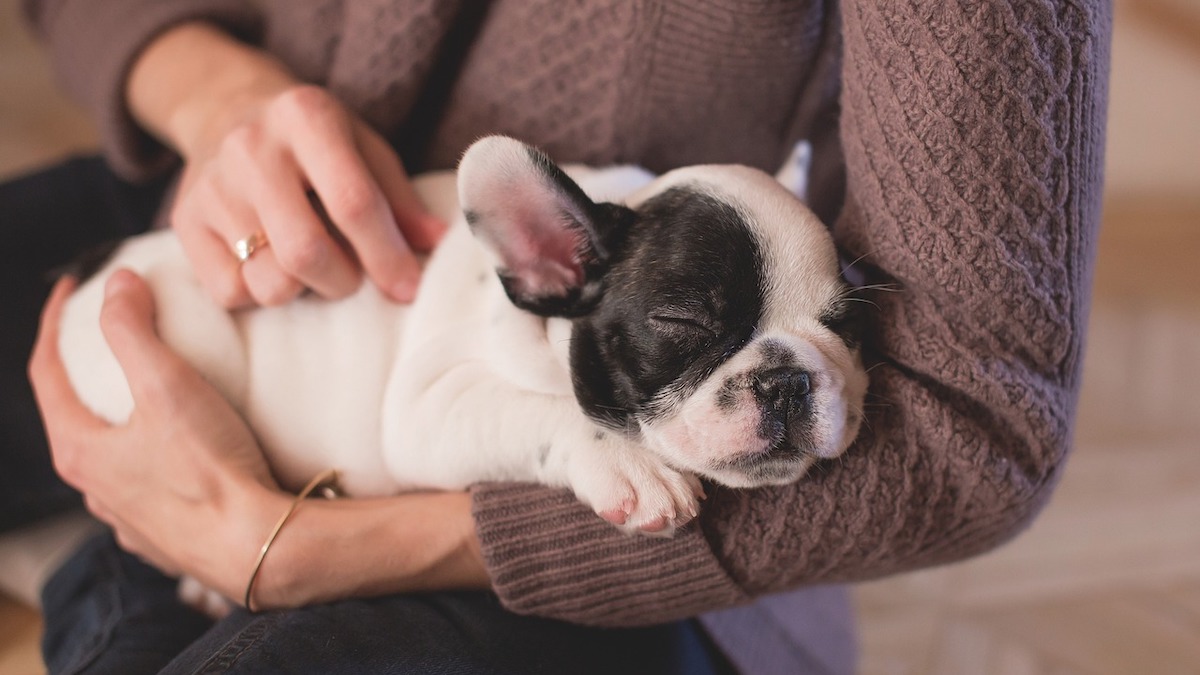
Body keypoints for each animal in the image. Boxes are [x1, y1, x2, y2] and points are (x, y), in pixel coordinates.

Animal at [58, 132, 864, 540]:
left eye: (845, 324)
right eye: (682, 322)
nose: (788, 379)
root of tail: (92, 268)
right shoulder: (427, 407)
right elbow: (542, 410)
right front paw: (631, 465)